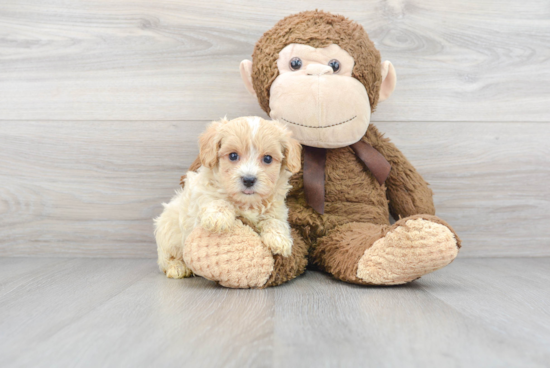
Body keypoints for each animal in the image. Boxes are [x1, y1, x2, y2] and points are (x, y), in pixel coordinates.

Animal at [154, 117, 302, 278]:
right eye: (233, 156)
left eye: (268, 158)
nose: (248, 180)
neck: (246, 202)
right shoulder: (200, 199)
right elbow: (217, 200)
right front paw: (218, 217)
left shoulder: (277, 209)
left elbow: (275, 221)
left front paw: (279, 240)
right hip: (167, 231)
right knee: (166, 259)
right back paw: (177, 267)